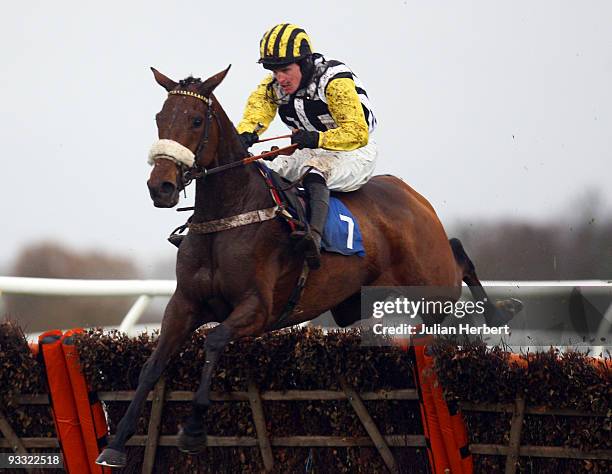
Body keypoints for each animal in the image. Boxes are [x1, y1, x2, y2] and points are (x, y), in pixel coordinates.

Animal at [95, 66, 520, 466]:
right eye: (160, 117)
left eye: (197, 120)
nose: (161, 187)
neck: (230, 215)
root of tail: (410, 194)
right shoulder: (184, 304)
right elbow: (153, 365)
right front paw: (115, 445)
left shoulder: (257, 309)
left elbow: (214, 341)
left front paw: (195, 428)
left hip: (432, 283)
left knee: (458, 259)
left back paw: (500, 311)